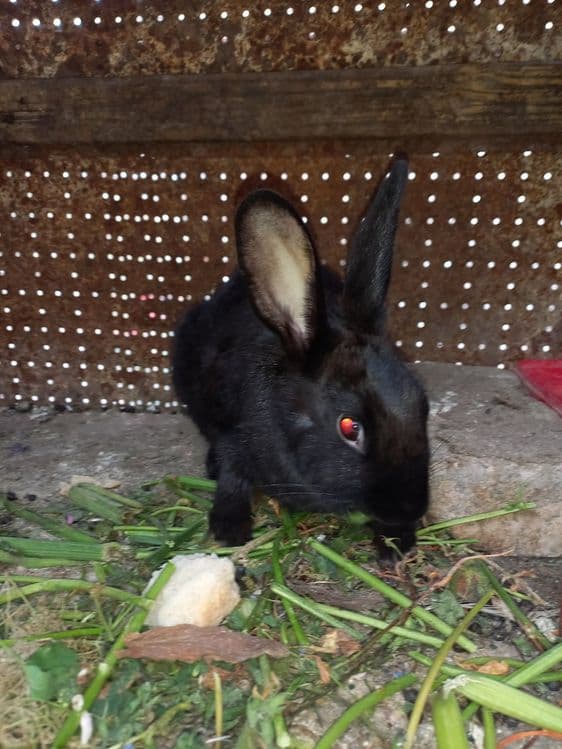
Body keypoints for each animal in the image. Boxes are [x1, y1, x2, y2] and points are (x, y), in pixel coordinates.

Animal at [172, 158, 429, 560]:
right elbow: (232, 477)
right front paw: (229, 530)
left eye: (423, 405)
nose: (411, 507)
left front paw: (395, 541)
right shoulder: (233, 436)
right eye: (349, 428)